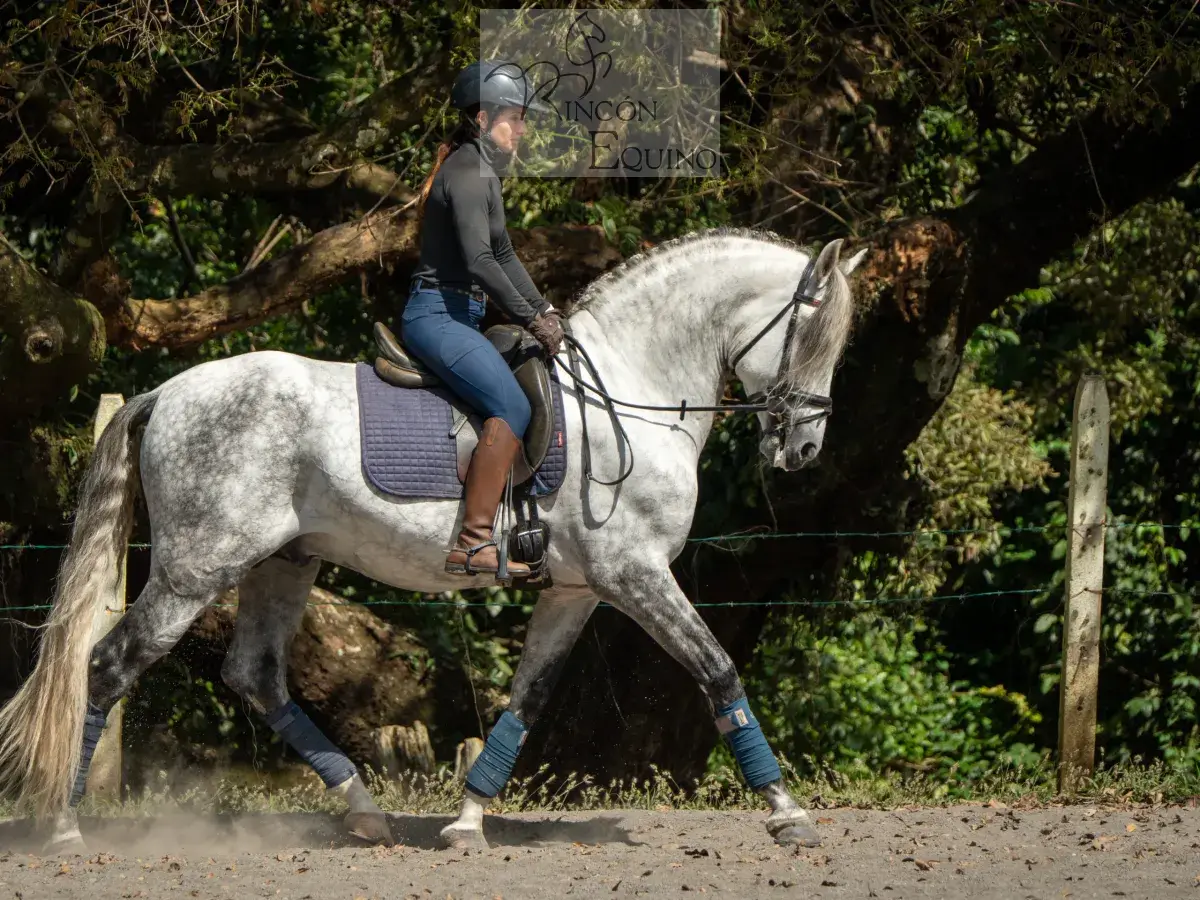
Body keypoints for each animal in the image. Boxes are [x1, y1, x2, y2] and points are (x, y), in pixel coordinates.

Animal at [0, 227, 866, 853]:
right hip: (195, 569)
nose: (803, 451)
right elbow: (718, 671)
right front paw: (788, 812)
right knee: (109, 666)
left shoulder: (576, 589)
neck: (630, 391)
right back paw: (66, 829)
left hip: (283, 562)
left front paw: (468, 821)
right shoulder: (635, 575)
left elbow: (526, 698)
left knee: (257, 677)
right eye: (813, 335)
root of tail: (168, 391)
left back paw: (364, 811)